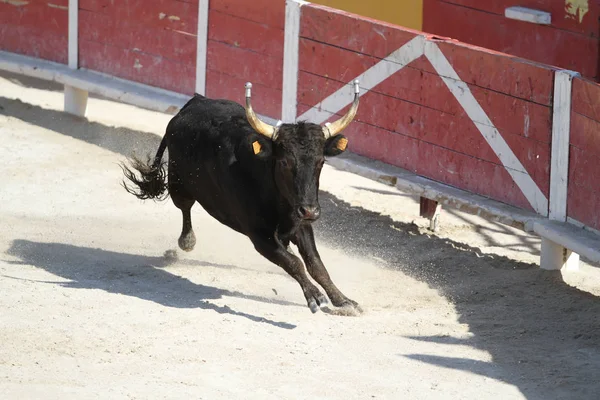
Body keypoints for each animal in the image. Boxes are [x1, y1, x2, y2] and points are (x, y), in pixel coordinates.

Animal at [121, 80, 364, 312]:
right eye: (285, 162)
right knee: (185, 207)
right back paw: (187, 241)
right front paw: (315, 297)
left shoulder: (300, 223)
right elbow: (294, 262)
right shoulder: (259, 235)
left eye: (321, 162)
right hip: (178, 183)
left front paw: (343, 301)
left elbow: (315, 263)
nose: (311, 211)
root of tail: (195, 102)